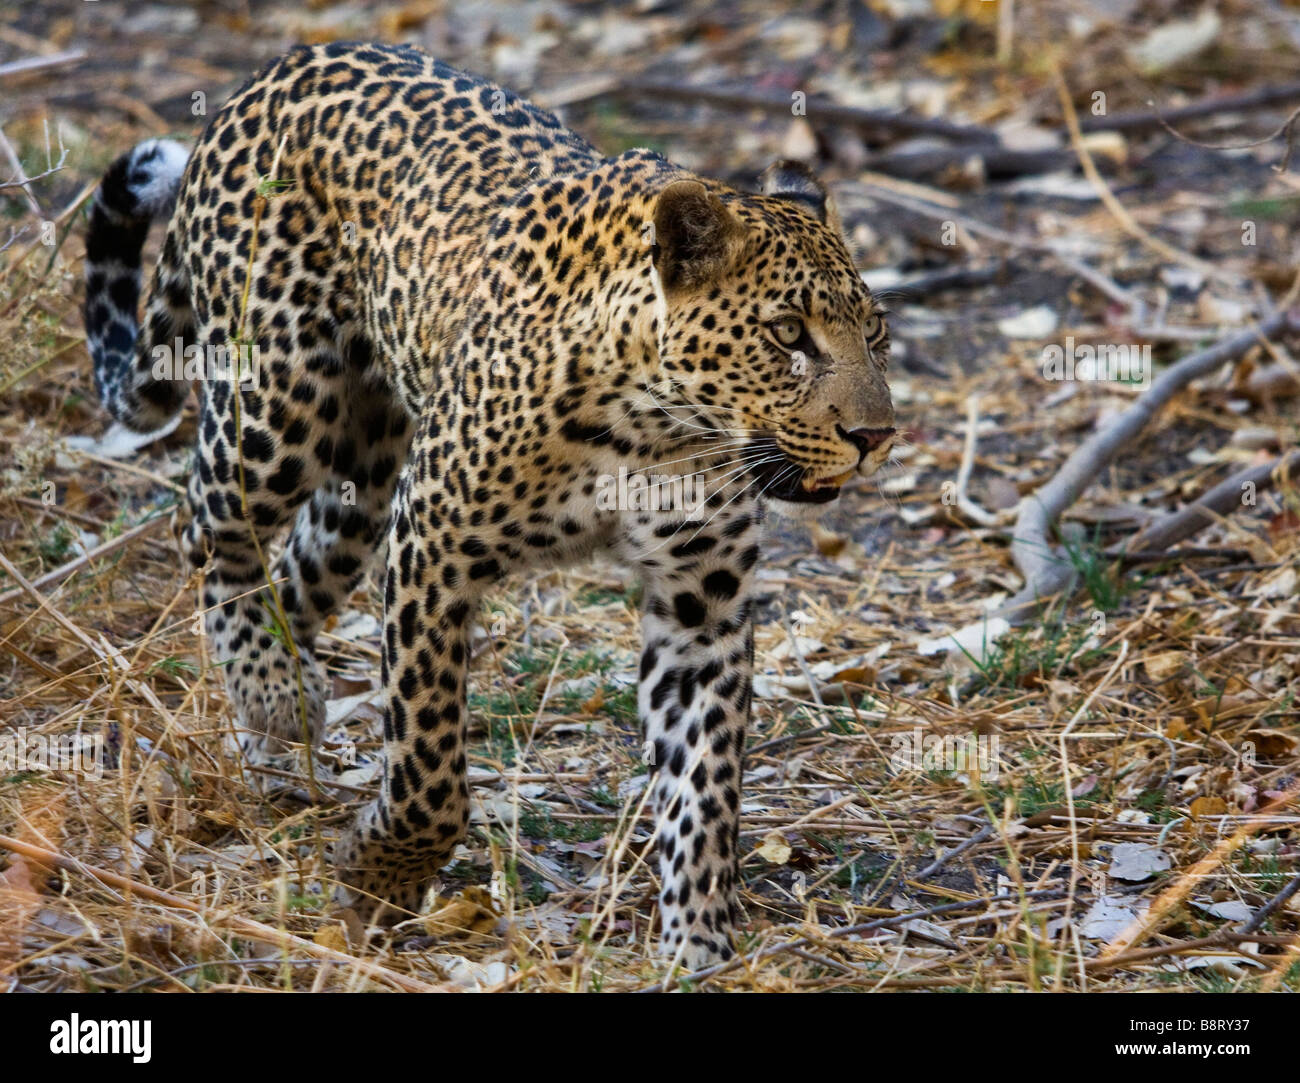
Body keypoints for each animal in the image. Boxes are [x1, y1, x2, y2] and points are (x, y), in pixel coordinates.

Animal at [81, 42, 894, 972]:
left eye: (875, 333)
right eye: (788, 334)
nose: (876, 436)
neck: (655, 428)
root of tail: (277, 69)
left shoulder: (702, 601)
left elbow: (706, 780)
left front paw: (698, 942)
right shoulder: (432, 543)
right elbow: (428, 759)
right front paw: (382, 874)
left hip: (363, 480)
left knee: (296, 576)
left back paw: (278, 734)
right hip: (279, 404)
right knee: (211, 529)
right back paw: (267, 686)